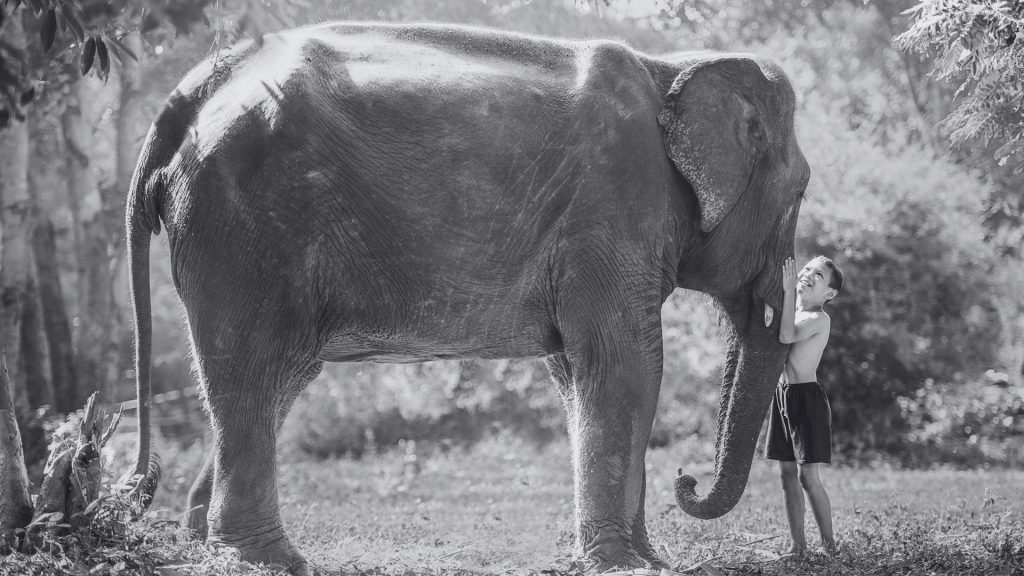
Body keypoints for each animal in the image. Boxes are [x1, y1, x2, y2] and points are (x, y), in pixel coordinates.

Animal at [124, 21, 808, 575]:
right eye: (801, 189)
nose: (686, 479)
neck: (670, 67)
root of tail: (195, 89)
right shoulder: (614, 207)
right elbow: (626, 365)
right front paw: (627, 564)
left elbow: (577, 372)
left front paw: (644, 558)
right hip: (244, 223)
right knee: (254, 367)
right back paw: (266, 559)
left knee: (276, 379)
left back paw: (206, 544)